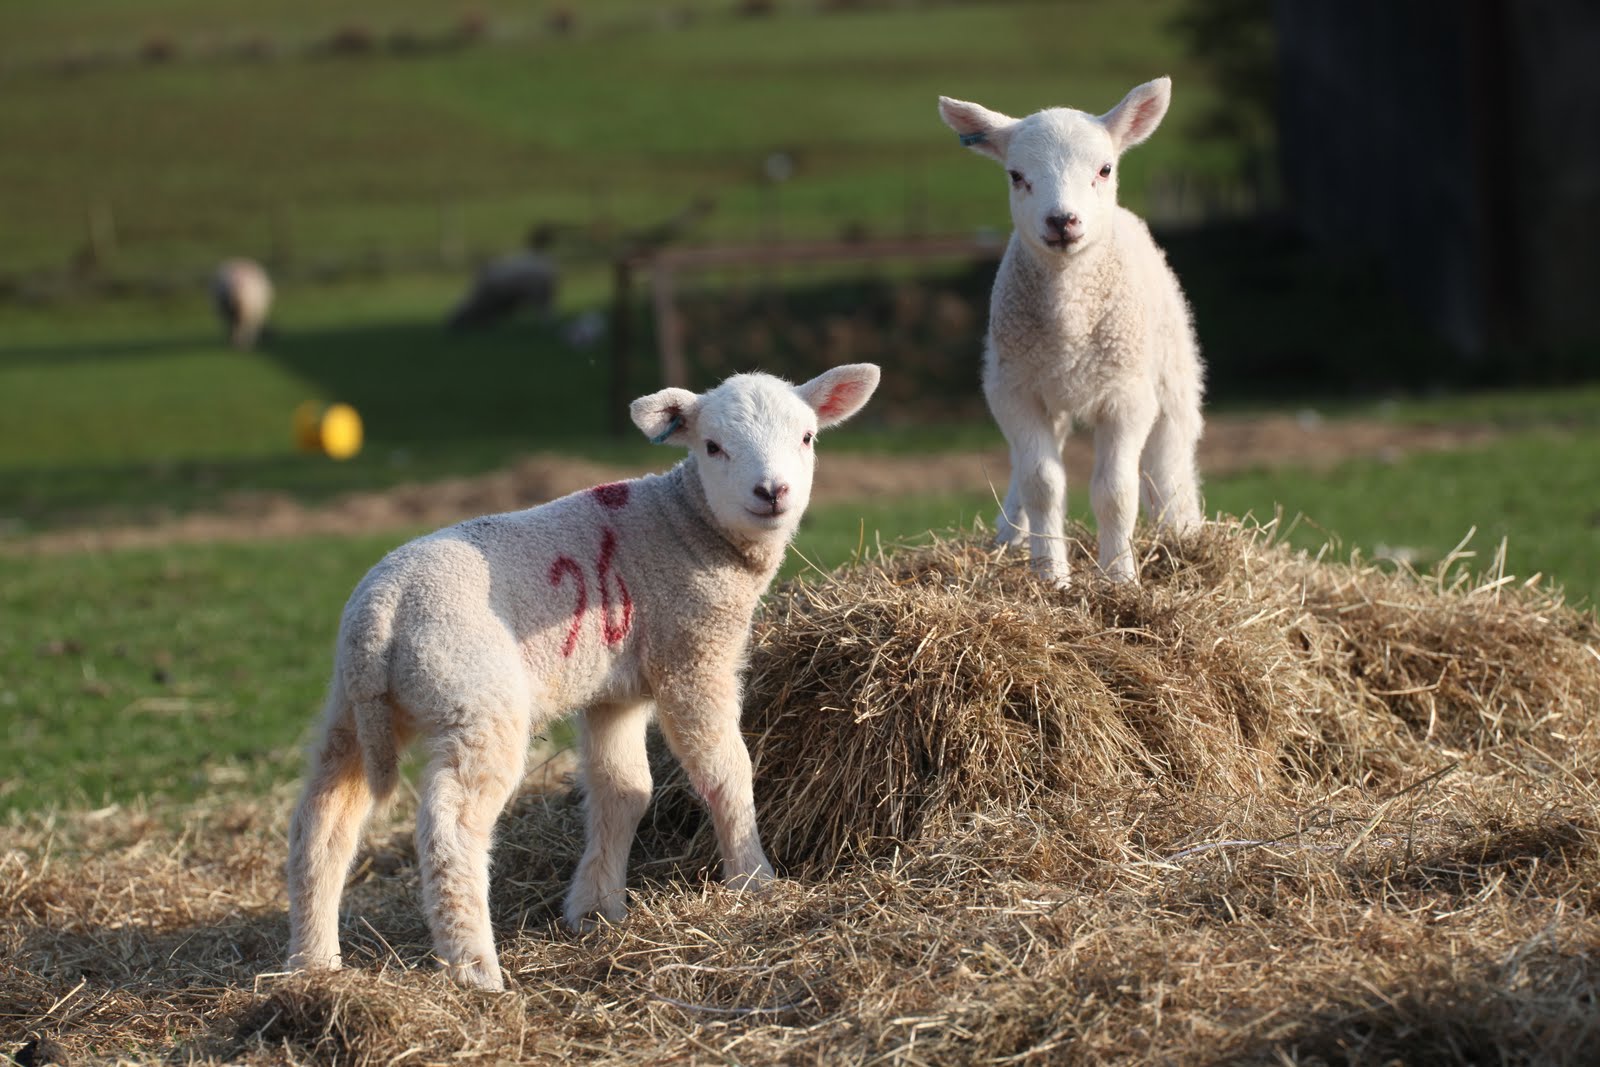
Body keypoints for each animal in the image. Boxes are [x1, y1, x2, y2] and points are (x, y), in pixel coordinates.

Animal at [285, 362, 882, 991]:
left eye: (807, 437)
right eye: (713, 447)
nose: (772, 492)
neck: (686, 523)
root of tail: (381, 612)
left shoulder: (614, 691)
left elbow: (624, 790)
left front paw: (596, 910)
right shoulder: (691, 654)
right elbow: (726, 769)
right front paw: (754, 881)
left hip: (354, 708)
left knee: (322, 822)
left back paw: (313, 965)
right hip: (474, 697)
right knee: (451, 827)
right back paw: (475, 969)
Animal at [938, 78, 1204, 586]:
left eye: (1104, 168)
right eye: (1016, 175)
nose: (1062, 221)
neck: (1070, 322)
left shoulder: (1126, 396)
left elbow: (1115, 491)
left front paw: (1119, 577)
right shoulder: (1015, 391)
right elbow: (1043, 483)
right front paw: (1050, 575)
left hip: (1172, 370)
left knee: (1171, 457)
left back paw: (1184, 533)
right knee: (1025, 467)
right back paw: (1011, 535)